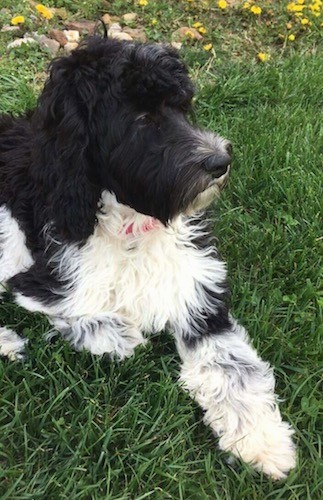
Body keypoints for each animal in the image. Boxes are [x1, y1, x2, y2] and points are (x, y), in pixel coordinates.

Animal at [0, 36, 298, 480]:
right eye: (142, 118)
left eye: (181, 107)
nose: (220, 161)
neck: (132, 226)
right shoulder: (43, 279)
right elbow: (77, 307)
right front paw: (113, 334)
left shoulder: (198, 289)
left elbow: (232, 365)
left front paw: (263, 440)